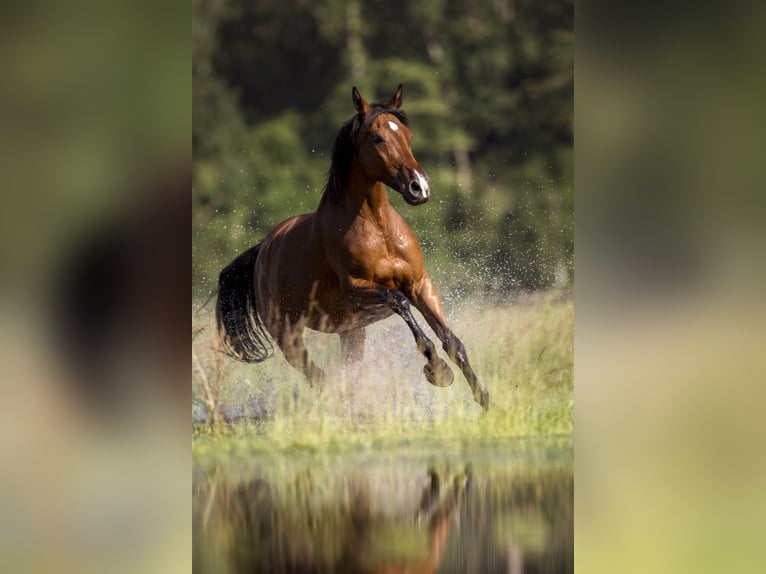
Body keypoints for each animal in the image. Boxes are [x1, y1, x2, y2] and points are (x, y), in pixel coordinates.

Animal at [216, 83, 492, 412]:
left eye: (408, 136)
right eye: (378, 138)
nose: (419, 187)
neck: (379, 229)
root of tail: (262, 253)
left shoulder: (420, 284)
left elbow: (452, 341)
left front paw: (485, 399)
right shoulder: (358, 288)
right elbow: (399, 301)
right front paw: (437, 370)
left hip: (351, 333)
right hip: (288, 335)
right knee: (317, 375)